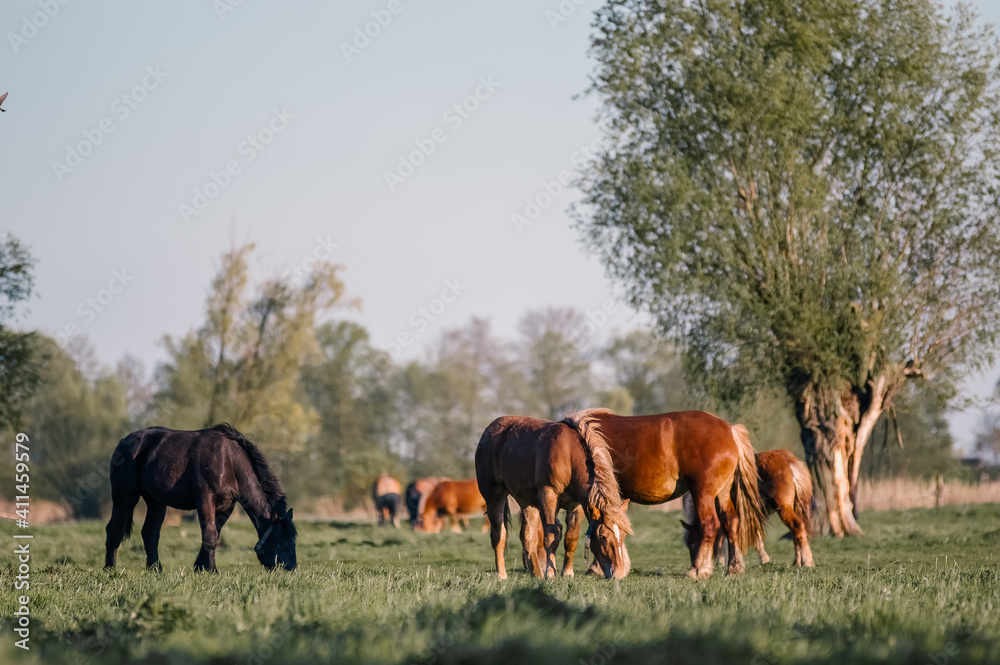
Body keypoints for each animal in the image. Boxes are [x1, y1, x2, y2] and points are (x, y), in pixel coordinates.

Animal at [104, 426, 296, 572]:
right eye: (284, 544)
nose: (291, 568)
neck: (228, 461)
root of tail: (124, 441)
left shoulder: (226, 507)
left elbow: (214, 535)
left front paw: (200, 567)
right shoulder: (205, 500)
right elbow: (209, 534)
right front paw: (211, 570)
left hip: (156, 502)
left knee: (150, 533)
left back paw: (156, 570)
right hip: (125, 498)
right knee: (114, 529)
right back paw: (110, 569)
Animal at [472, 412, 628, 580]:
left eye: (623, 535)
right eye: (603, 536)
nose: (619, 573)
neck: (569, 454)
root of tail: (489, 430)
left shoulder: (576, 504)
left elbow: (571, 538)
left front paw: (567, 572)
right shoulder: (548, 495)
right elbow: (551, 536)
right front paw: (551, 574)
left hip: (527, 502)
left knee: (528, 536)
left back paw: (537, 574)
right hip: (494, 496)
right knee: (498, 536)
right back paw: (502, 574)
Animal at [564, 408, 764, 580]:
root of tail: (730, 430)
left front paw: (597, 567)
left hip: (703, 493)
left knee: (710, 524)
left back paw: (698, 569)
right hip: (722, 493)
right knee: (731, 522)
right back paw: (734, 567)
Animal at [684, 446, 816, 564]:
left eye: (692, 544)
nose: (694, 563)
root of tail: (789, 460)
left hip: (784, 509)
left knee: (797, 526)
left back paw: (806, 561)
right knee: (796, 533)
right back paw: (797, 561)